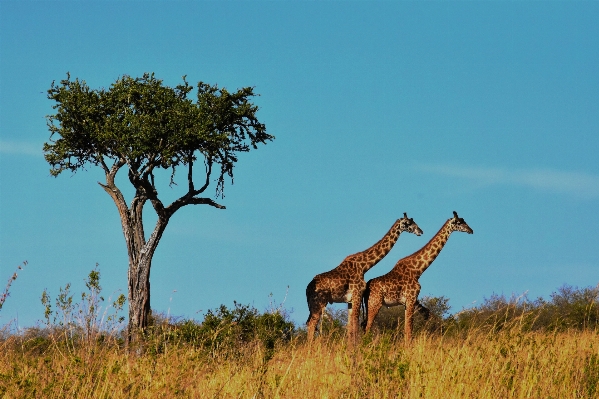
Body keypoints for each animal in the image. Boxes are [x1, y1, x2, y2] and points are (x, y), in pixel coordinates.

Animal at [308, 212, 424, 344]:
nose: (420, 231)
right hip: (319, 302)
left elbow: (351, 326)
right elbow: (355, 324)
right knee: (312, 323)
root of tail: (307, 289)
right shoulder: (357, 294)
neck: (364, 266)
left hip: (313, 305)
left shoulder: (351, 300)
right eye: (408, 223)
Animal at [360, 211, 474, 346]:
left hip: (369, 305)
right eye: (459, 222)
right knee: (367, 327)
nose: (471, 230)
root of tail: (366, 289)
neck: (418, 270)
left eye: (464, 220)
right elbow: (409, 329)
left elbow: (412, 326)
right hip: (374, 303)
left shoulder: (412, 301)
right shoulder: (411, 298)